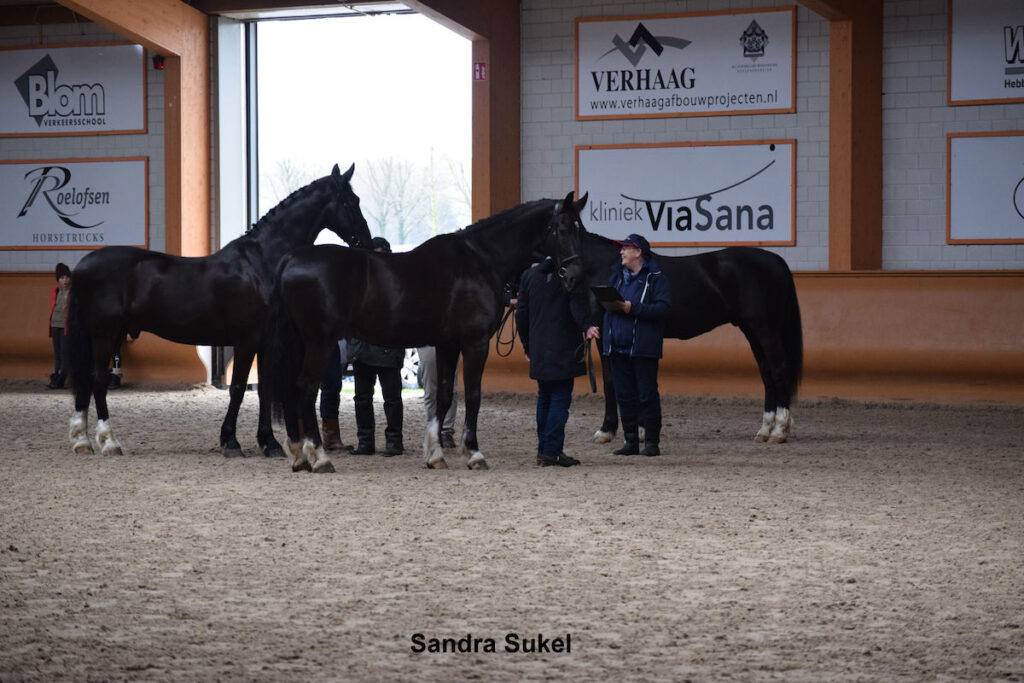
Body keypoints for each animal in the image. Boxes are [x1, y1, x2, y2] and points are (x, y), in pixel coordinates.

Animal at [66, 164, 373, 458]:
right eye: (350, 201)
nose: (366, 242)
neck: (261, 264)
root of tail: (80, 266)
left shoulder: (266, 342)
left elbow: (264, 390)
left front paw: (269, 443)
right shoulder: (246, 341)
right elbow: (237, 389)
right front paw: (231, 442)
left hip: (109, 334)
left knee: (87, 381)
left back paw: (82, 441)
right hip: (104, 333)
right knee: (98, 380)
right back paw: (109, 443)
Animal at [269, 192, 589, 473]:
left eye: (581, 230)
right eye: (562, 229)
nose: (575, 276)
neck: (481, 260)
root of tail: (290, 260)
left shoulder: (447, 344)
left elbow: (444, 395)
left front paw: (435, 455)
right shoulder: (475, 343)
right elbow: (473, 394)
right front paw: (474, 454)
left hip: (300, 343)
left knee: (292, 389)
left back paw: (300, 457)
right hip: (319, 342)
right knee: (306, 389)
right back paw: (320, 458)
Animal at [572, 233, 803, 444]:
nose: (568, 276)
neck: (602, 266)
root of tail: (776, 260)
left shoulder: (606, 336)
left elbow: (610, 381)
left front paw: (607, 430)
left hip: (765, 330)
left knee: (779, 369)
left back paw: (779, 430)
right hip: (752, 331)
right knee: (767, 373)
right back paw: (765, 429)